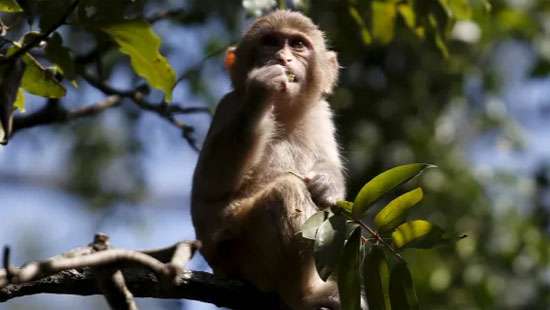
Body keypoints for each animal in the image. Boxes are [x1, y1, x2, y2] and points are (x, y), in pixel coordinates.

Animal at [191, 10, 344, 310]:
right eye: (271, 42)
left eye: (298, 44)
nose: (283, 58)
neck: (284, 113)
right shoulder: (229, 105)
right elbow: (210, 186)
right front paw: (261, 91)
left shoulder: (321, 113)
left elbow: (328, 167)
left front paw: (328, 183)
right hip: (239, 254)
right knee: (286, 191)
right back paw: (304, 295)